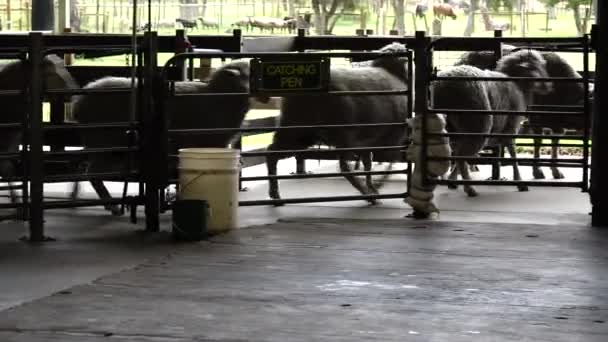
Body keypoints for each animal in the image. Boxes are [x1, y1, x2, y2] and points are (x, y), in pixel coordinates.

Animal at [70, 60, 264, 212]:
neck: (220, 96)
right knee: (92, 172)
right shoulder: (208, 143)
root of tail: (78, 103)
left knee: (81, 167)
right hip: (105, 142)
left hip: (99, 144)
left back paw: (77, 196)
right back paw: (112, 205)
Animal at [266, 41, 408, 204]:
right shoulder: (392, 137)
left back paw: (275, 195)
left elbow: (368, 164)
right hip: (341, 134)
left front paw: (372, 186)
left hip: (298, 131)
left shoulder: (367, 142)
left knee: (271, 153)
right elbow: (390, 162)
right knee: (344, 166)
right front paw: (377, 185)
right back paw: (367, 194)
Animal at [434, 49, 552, 196]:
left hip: (450, 127)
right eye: (539, 66)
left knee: (454, 154)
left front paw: (452, 179)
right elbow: (513, 154)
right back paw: (469, 188)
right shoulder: (511, 126)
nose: (550, 86)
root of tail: (445, 85)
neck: (517, 84)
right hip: (478, 124)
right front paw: (520, 182)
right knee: (461, 155)